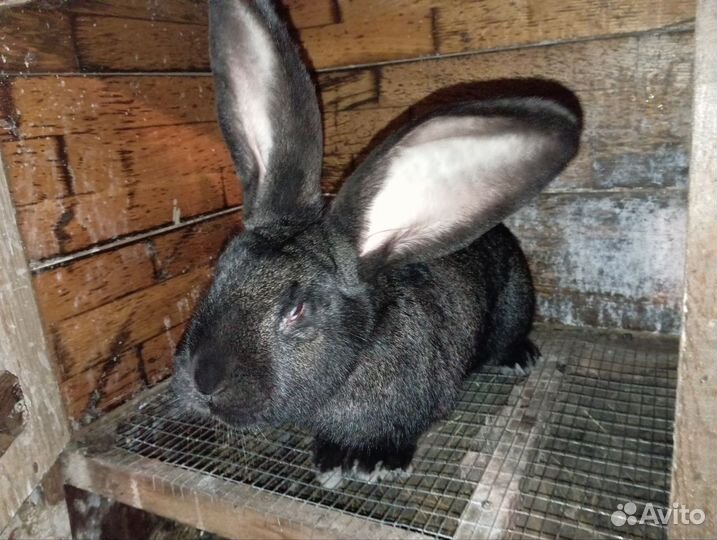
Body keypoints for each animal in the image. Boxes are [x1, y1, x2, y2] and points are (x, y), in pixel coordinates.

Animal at [172, 0, 581, 486]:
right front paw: (331, 460)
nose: (203, 380)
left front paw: (371, 463)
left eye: (297, 310)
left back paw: (519, 356)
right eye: (220, 267)